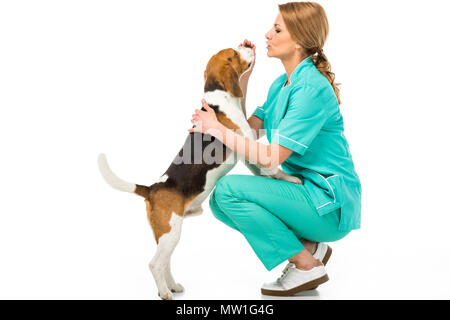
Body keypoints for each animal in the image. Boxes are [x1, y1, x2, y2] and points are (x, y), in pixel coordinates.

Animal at [99, 43, 302, 298]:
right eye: (233, 54)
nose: (247, 44)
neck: (219, 96)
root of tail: (152, 188)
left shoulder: (248, 149)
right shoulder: (248, 142)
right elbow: (272, 168)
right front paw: (289, 178)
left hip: (169, 234)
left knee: (165, 261)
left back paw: (172, 286)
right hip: (170, 231)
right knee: (155, 263)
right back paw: (164, 292)